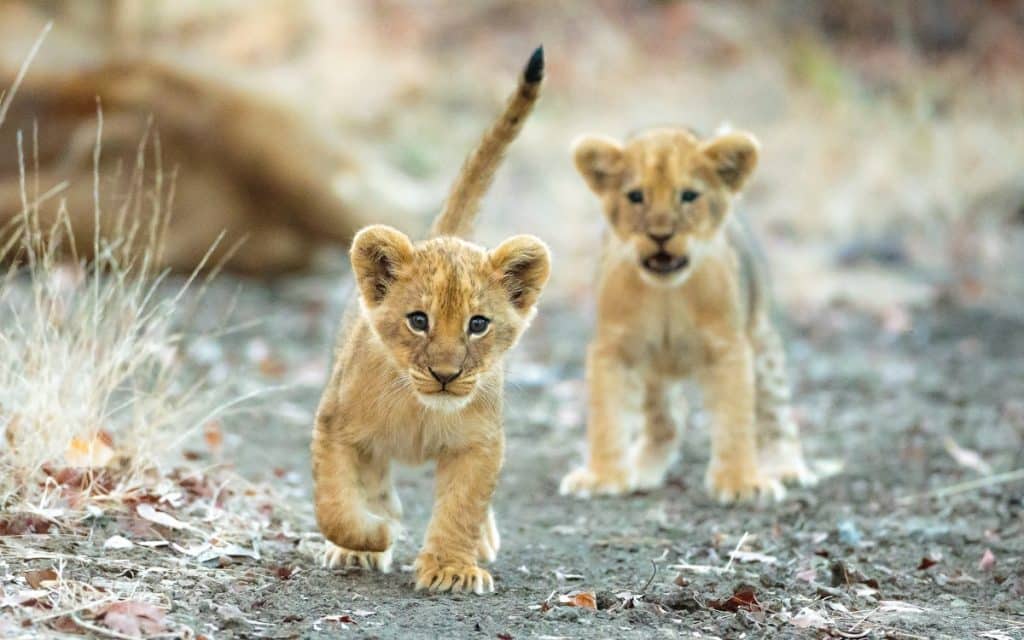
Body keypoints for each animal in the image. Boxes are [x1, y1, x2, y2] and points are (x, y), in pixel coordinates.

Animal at [311, 47, 549, 594]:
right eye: (418, 320)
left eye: (478, 325)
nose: (445, 374)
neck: (418, 408)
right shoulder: (334, 424)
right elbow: (337, 506)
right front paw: (372, 536)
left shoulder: (480, 442)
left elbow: (463, 506)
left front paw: (452, 568)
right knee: (372, 480)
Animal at [559, 126, 816, 503]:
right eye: (636, 196)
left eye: (689, 195)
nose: (660, 235)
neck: (667, 292)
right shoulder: (614, 347)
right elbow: (607, 416)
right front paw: (602, 476)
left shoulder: (729, 347)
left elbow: (735, 419)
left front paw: (740, 483)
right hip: (653, 369)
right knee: (667, 419)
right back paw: (642, 468)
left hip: (762, 340)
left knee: (775, 412)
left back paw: (785, 467)